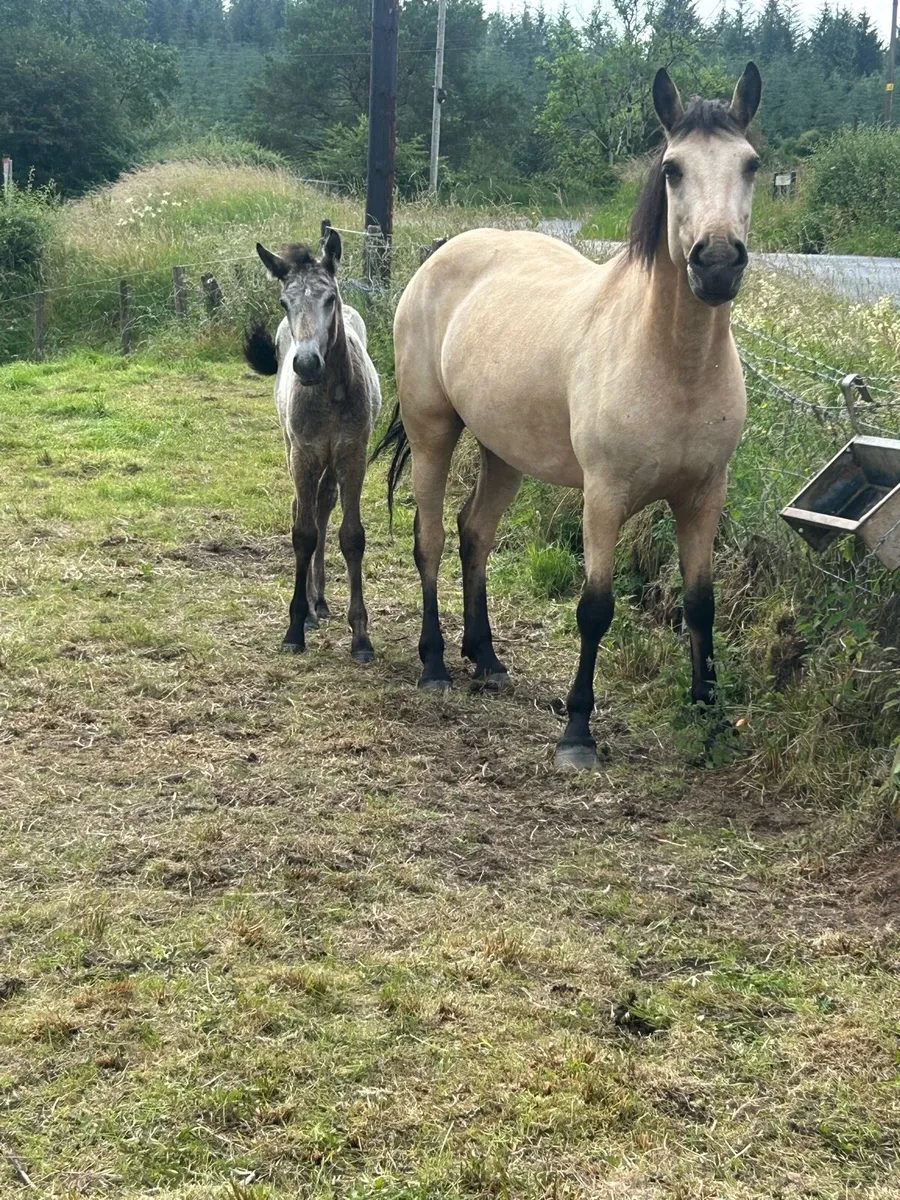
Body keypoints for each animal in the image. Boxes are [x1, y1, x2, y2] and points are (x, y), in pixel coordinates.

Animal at [244, 227, 382, 662]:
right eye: (284, 302)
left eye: (329, 298)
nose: (305, 364)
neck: (330, 395)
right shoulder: (304, 455)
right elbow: (302, 533)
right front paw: (294, 627)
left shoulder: (352, 455)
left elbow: (351, 536)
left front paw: (360, 636)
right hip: (296, 451)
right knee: (304, 512)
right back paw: (309, 609)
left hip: (330, 463)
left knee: (323, 509)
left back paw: (319, 601)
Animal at [373, 64, 762, 768]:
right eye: (672, 169)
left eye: (750, 164)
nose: (717, 263)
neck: (673, 362)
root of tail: (440, 254)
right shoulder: (604, 496)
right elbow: (595, 609)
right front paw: (578, 731)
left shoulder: (703, 496)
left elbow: (701, 605)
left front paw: (710, 719)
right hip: (432, 432)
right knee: (431, 538)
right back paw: (436, 664)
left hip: (503, 452)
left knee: (475, 533)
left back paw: (487, 660)